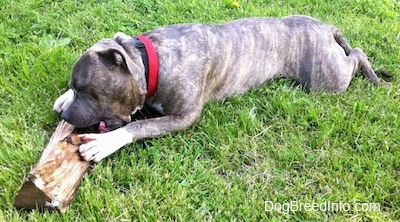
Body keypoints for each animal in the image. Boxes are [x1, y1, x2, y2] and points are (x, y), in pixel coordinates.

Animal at [52, 15, 388, 161]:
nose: (67, 116)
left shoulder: (183, 117)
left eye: (86, 88)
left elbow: (139, 125)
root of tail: (325, 25)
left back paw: (377, 78)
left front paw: (104, 143)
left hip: (327, 80)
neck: (150, 60)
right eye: (75, 87)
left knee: (357, 54)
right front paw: (62, 98)